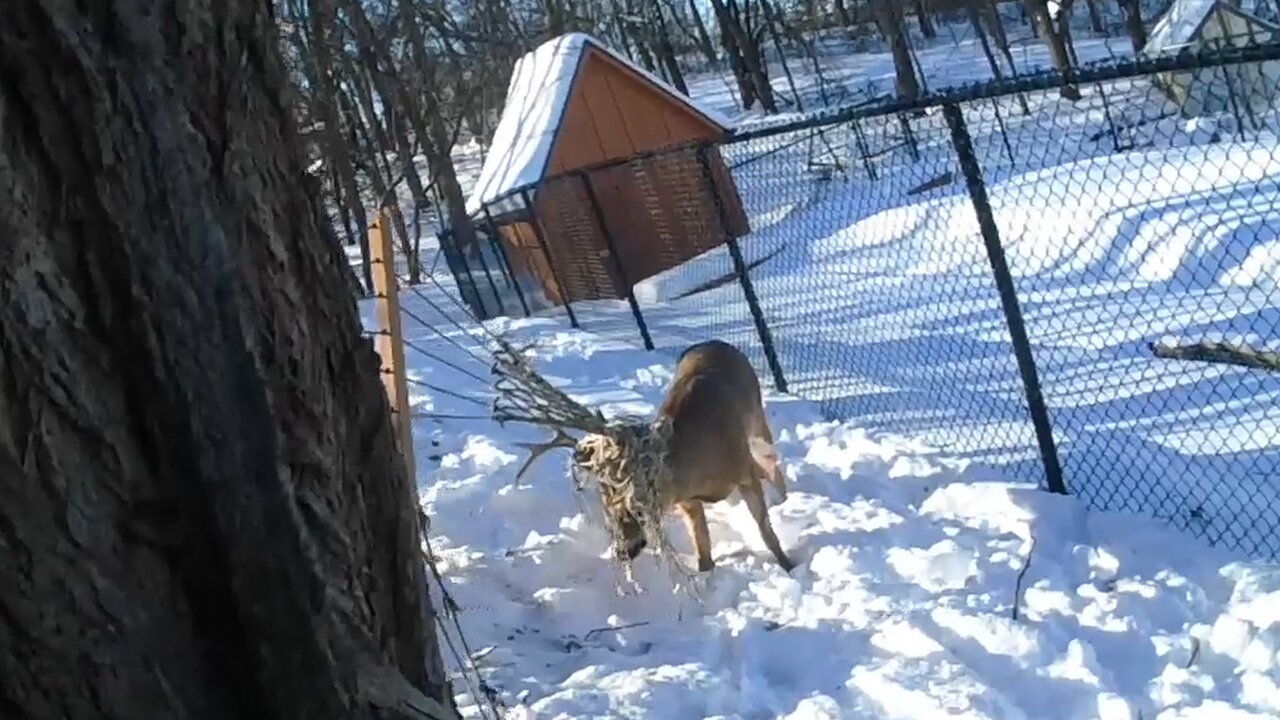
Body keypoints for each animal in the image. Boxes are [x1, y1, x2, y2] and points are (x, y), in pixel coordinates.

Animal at [499, 338, 788, 573]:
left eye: (635, 509)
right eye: (606, 508)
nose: (621, 552)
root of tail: (714, 342)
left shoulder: (743, 471)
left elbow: (766, 531)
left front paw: (787, 564)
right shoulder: (687, 502)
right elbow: (702, 546)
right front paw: (706, 574)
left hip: (757, 422)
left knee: (772, 461)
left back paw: (785, 500)